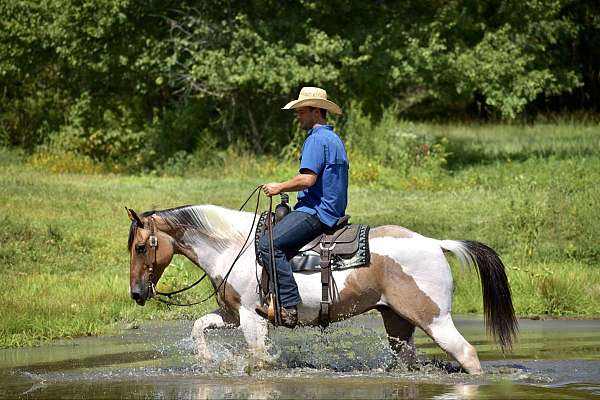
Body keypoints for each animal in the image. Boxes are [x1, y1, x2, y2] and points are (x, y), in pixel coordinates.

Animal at [127, 205, 520, 374]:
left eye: (141, 247)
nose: (136, 293)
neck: (233, 247)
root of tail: (436, 243)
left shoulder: (253, 318)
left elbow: (258, 358)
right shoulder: (232, 314)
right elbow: (199, 327)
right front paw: (208, 361)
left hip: (434, 319)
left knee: (467, 354)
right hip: (397, 322)